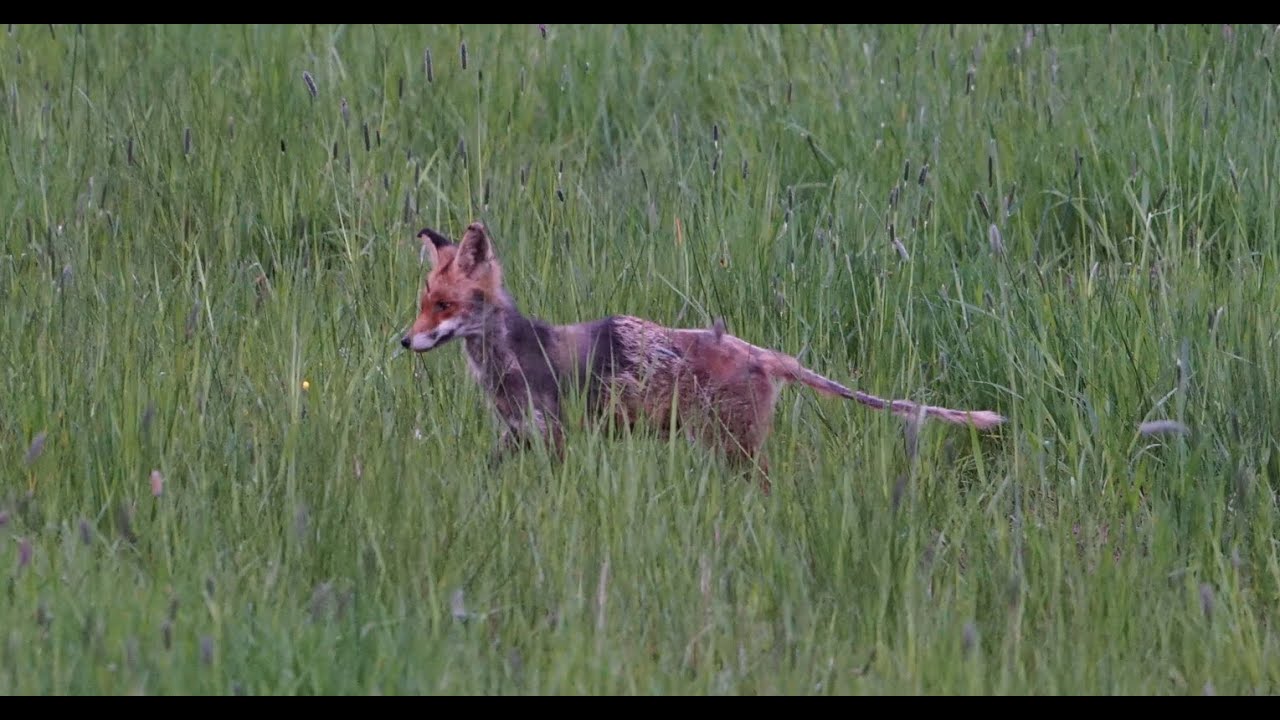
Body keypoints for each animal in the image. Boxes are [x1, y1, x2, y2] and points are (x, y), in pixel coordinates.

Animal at [401, 221, 1005, 493]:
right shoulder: (514, 433)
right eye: (422, 304)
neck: (506, 359)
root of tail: (761, 351)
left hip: (733, 449)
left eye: (444, 306)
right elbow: (487, 473)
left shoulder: (553, 434)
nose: (405, 342)